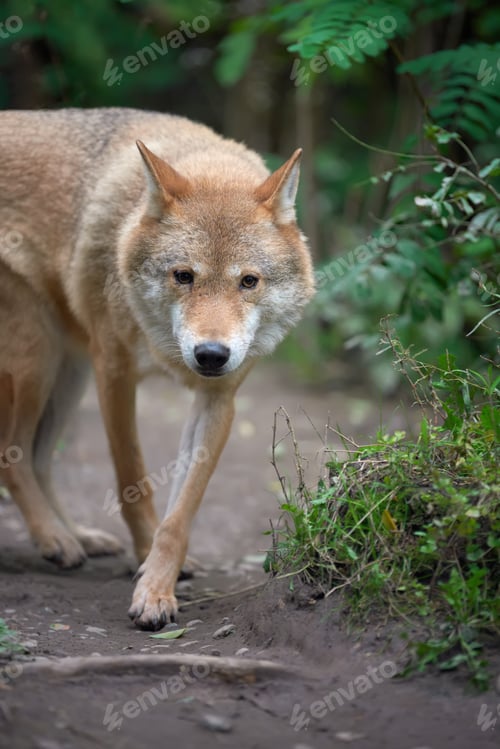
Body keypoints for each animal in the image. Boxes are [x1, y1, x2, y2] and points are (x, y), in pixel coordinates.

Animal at [0, 108, 314, 630]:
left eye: (249, 281)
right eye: (183, 276)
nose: (211, 354)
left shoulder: (218, 400)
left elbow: (181, 514)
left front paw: (158, 585)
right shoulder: (113, 373)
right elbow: (134, 483)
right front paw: (146, 562)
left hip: (67, 371)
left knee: (40, 457)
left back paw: (77, 537)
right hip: (38, 358)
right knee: (13, 452)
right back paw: (55, 540)